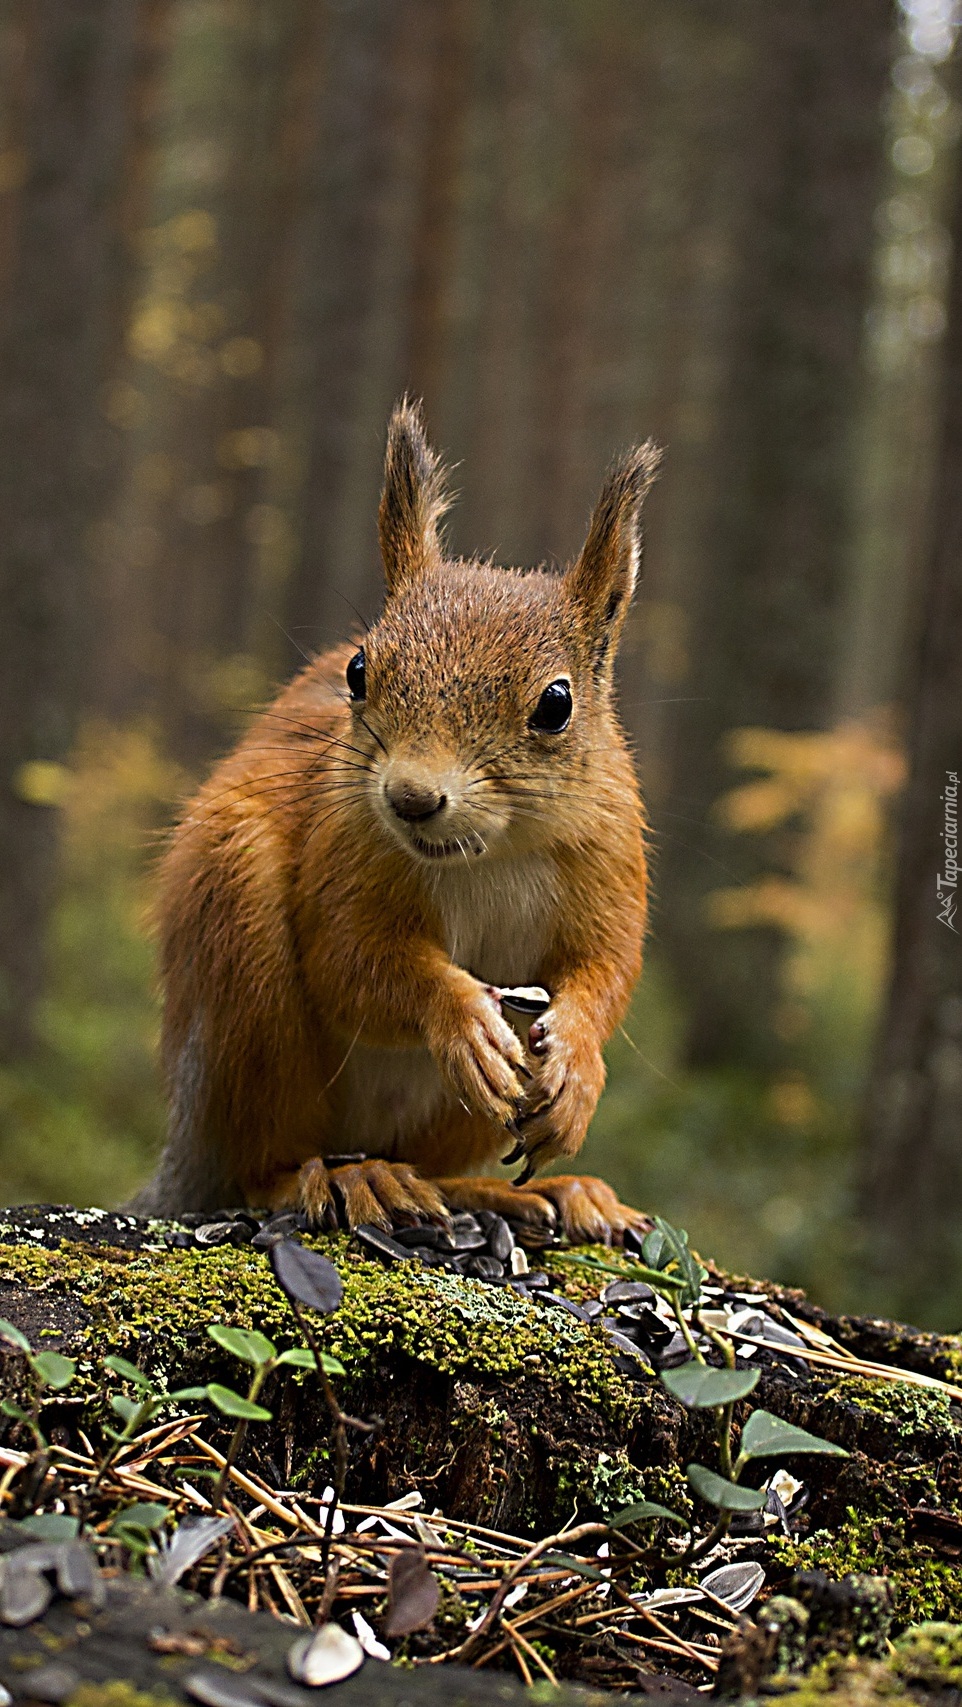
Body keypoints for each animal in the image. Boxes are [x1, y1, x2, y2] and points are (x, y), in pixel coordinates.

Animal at [137, 406, 661, 1249]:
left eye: (556, 703)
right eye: (358, 671)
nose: (411, 797)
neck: (489, 853)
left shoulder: (609, 862)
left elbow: (605, 972)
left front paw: (578, 1064)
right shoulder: (342, 850)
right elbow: (352, 964)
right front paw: (461, 1017)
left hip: (453, 1119)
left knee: (438, 1166)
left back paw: (534, 1192)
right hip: (242, 972)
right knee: (261, 1164)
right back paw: (343, 1176)